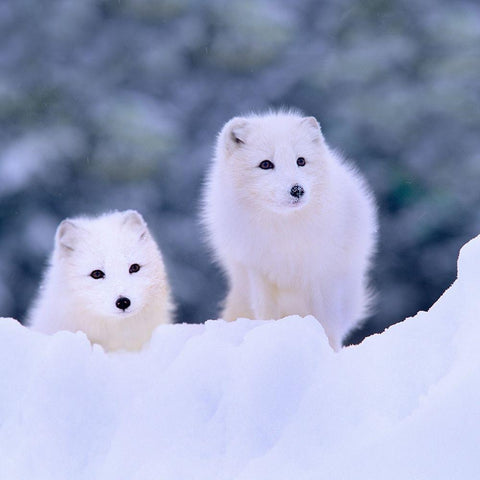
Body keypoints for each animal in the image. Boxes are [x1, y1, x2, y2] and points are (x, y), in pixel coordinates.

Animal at [202, 109, 378, 348]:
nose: (297, 190)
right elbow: (267, 313)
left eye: (300, 161)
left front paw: (328, 350)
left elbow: (326, 323)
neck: (284, 232)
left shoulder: (321, 275)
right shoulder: (258, 272)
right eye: (266, 164)